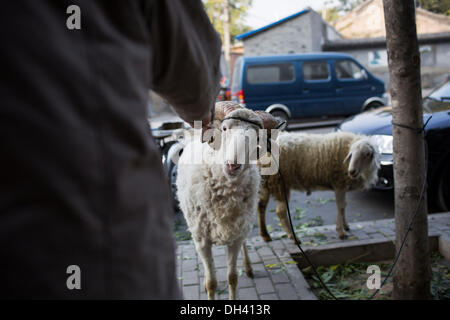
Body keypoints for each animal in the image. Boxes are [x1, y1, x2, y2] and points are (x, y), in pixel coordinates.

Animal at [176, 102, 278, 300]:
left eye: (258, 138)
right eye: (224, 128)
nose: (233, 165)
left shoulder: (236, 236)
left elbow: (232, 278)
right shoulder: (201, 239)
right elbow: (211, 283)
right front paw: (208, 285)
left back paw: (248, 268)